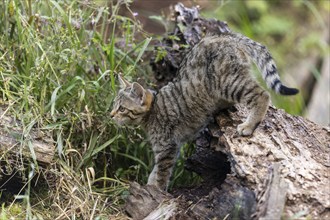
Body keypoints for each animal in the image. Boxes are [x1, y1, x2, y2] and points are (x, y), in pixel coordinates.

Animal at [109, 31, 298, 190]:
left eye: (122, 109)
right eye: (113, 106)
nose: (110, 115)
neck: (152, 112)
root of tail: (226, 37)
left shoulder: (166, 147)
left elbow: (161, 174)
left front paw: (156, 192)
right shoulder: (168, 148)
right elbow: (154, 173)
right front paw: (150, 185)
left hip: (228, 82)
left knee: (262, 94)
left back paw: (249, 125)